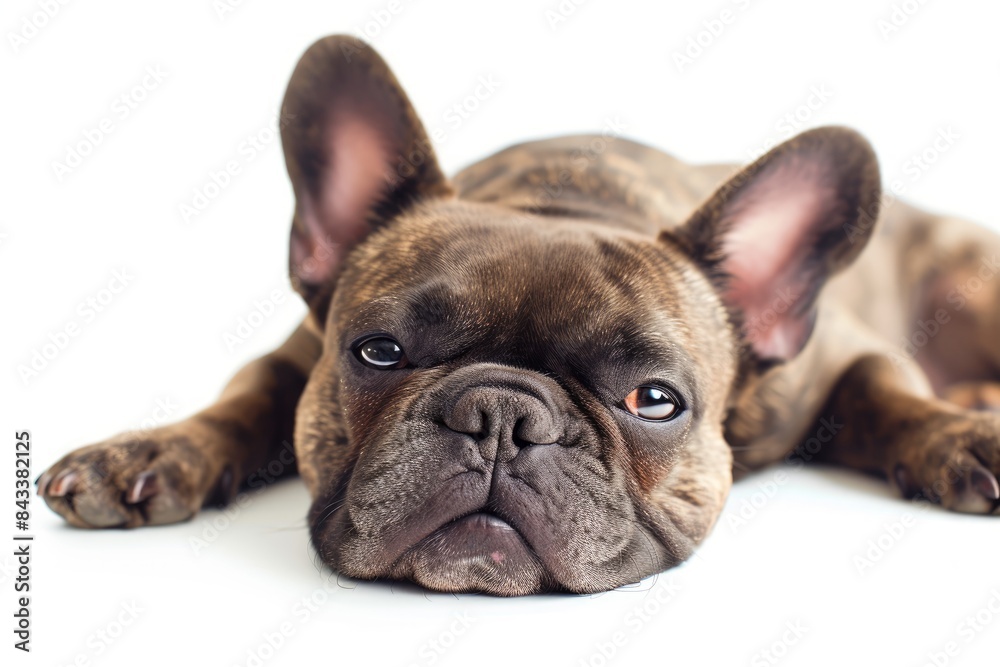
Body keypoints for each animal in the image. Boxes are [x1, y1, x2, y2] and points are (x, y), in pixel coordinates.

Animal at [35, 34, 996, 596]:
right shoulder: (293, 354)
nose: (501, 414)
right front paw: (148, 452)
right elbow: (241, 400)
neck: (560, 200)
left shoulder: (846, 354)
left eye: (655, 401)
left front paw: (958, 440)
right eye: (378, 352)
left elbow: (889, 395)